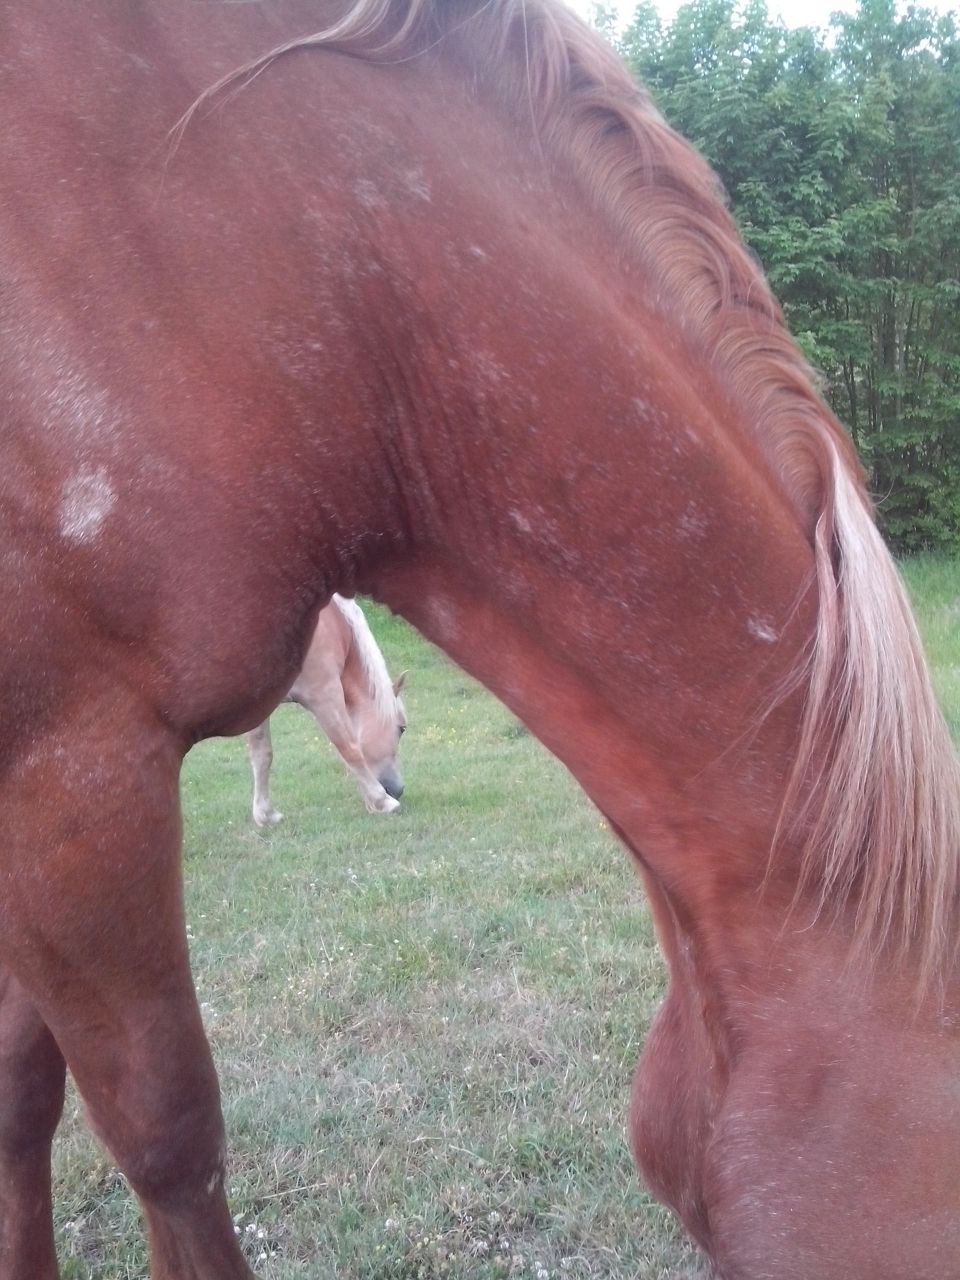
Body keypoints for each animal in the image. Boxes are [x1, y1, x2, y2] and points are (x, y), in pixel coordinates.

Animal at [245, 593, 406, 824]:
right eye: (402, 728)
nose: (398, 790)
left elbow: (262, 755)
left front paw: (265, 814)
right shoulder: (325, 693)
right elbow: (349, 749)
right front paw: (382, 802)